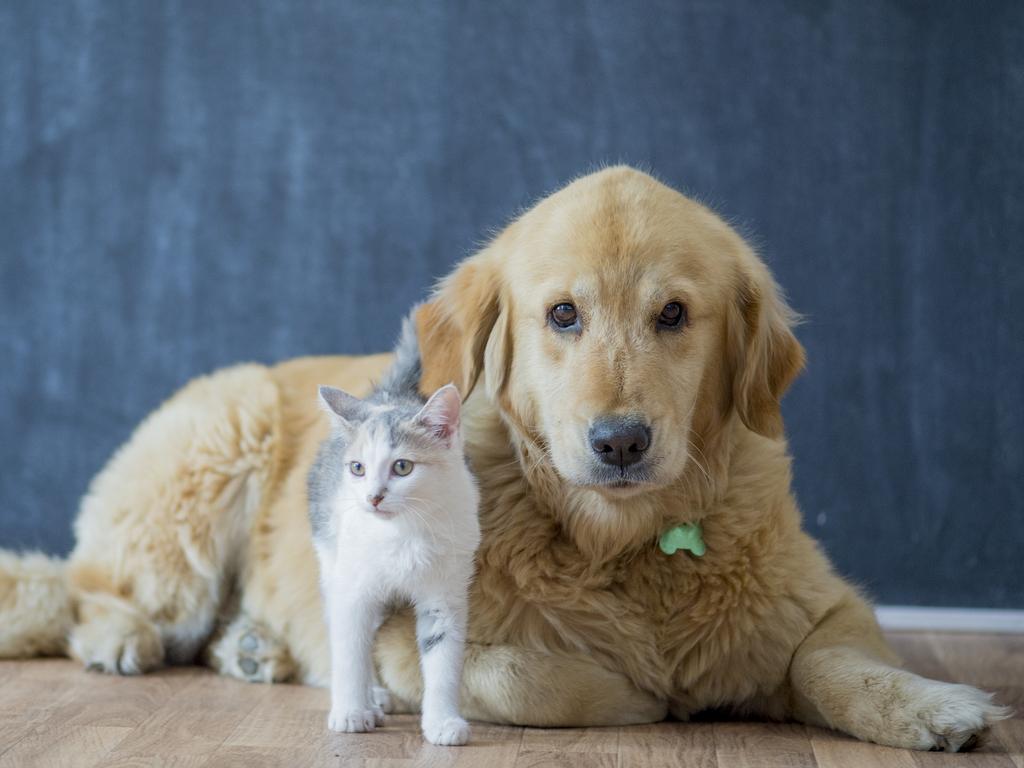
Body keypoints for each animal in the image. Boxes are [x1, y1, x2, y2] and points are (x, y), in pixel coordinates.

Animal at [307, 321, 479, 749]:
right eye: (357, 468)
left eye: (402, 467)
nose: (373, 497)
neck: (402, 532)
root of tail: (385, 394)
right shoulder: (352, 589)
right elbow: (350, 652)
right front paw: (350, 711)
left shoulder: (446, 594)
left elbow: (442, 660)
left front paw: (442, 722)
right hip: (332, 559)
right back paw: (370, 699)